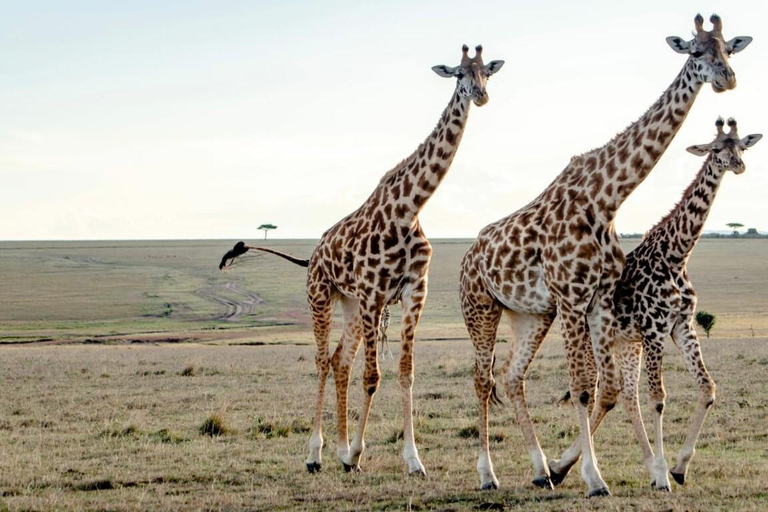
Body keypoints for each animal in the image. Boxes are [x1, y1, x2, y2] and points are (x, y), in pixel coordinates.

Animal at [225, 46, 508, 474]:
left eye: (486, 72)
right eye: (458, 73)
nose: (480, 95)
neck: (409, 209)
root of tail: (313, 255)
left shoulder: (413, 293)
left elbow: (405, 373)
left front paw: (411, 459)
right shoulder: (375, 293)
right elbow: (372, 376)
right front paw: (359, 452)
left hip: (351, 304)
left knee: (340, 360)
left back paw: (339, 450)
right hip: (321, 296)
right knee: (322, 360)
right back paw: (316, 453)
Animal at [548, 118, 760, 490]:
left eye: (742, 147)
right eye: (716, 148)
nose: (737, 165)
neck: (676, 256)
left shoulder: (682, 326)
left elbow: (707, 388)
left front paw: (678, 467)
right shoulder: (655, 330)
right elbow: (658, 399)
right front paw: (664, 474)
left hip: (625, 343)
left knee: (623, 395)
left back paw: (568, 466)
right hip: (592, 337)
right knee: (593, 392)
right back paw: (569, 467)